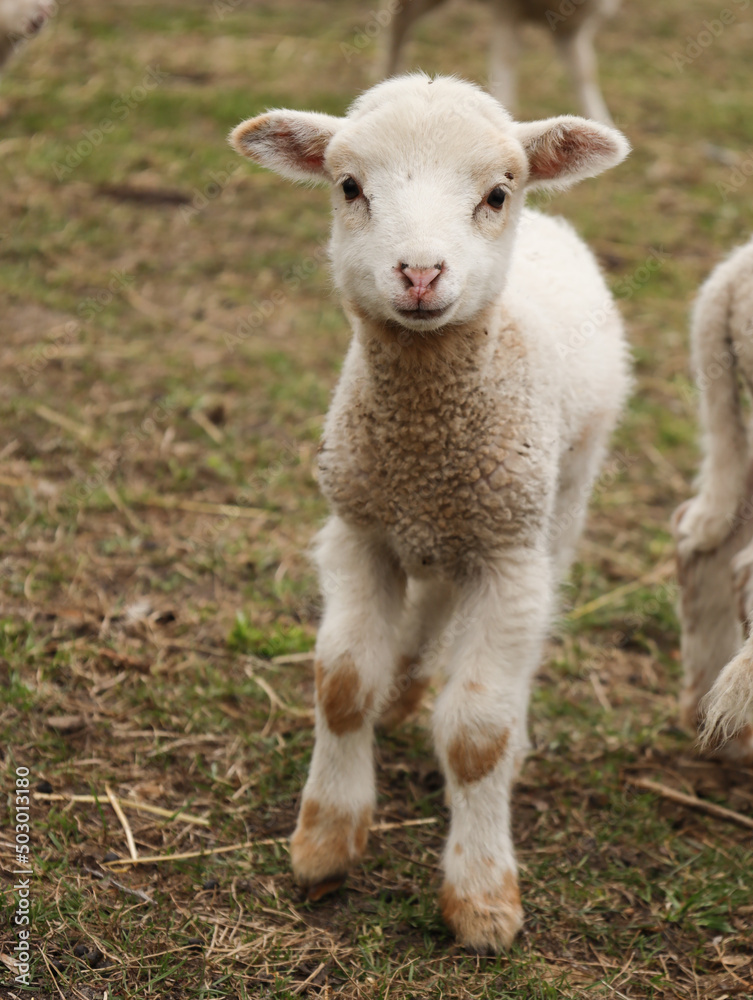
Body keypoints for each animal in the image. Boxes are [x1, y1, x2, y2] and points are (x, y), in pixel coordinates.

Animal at [229, 76, 628, 952]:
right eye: (349, 187)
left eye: (495, 193)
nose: (418, 272)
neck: (425, 443)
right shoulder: (358, 530)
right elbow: (343, 683)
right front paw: (325, 842)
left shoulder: (507, 557)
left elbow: (476, 736)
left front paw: (481, 899)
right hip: (452, 527)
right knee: (433, 602)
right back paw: (406, 687)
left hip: (558, 495)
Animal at [378, 0, 620, 124]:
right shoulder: (509, 9)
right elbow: (507, 58)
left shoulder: (570, 25)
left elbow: (584, 70)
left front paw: (601, 120)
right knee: (399, 20)